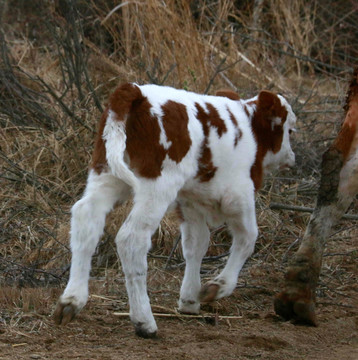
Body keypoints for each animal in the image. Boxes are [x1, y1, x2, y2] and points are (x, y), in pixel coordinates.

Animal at [54, 82, 296, 338]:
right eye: (290, 130)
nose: (292, 157)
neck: (248, 126)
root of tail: (134, 91)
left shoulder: (190, 202)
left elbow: (196, 245)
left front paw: (190, 299)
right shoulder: (238, 195)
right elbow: (248, 238)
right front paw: (218, 287)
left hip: (106, 173)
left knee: (86, 218)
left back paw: (71, 302)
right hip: (158, 184)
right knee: (131, 238)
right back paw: (144, 321)